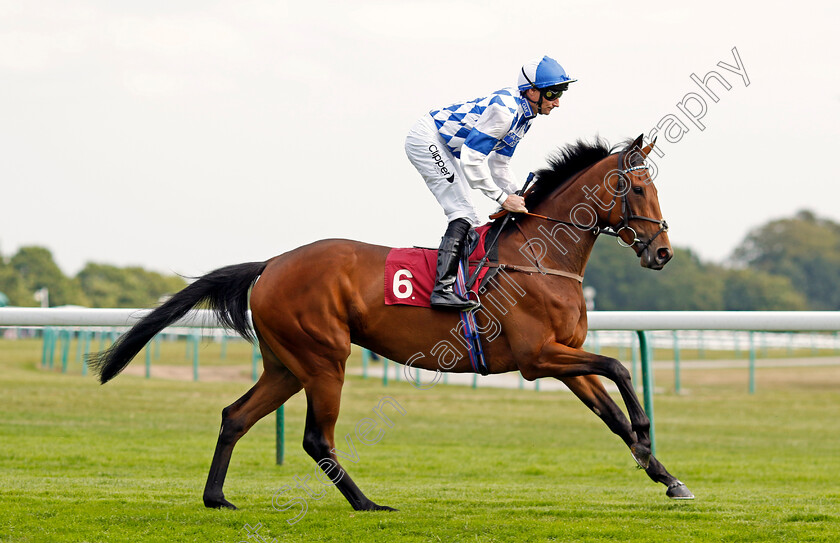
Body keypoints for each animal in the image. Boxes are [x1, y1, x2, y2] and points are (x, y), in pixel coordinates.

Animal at [88, 133, 692, 516]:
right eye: (638, 188)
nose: (662, 251)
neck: (539, 258)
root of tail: (272, 263)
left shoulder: (563, 357)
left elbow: (610, 409)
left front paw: (666, 476)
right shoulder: (536, 358)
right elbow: (619, 367)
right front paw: (647, 435)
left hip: (286, 364)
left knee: (235, 416)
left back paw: (217, 498)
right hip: (324, 359)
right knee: (316, 437)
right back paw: (367, 503)